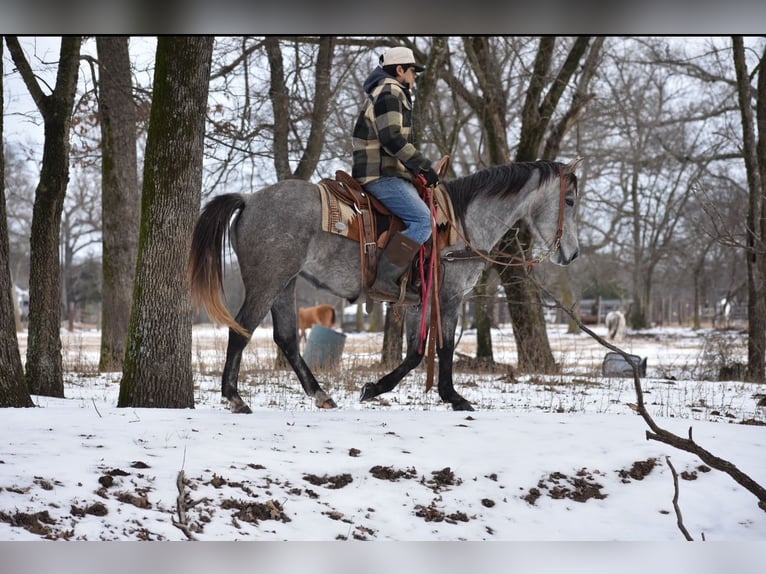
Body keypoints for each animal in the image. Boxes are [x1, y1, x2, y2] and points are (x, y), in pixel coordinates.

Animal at [188, 159, 582, 413]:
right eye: (570, 200)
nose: (573, 254)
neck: (461, 223)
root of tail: (250, 199)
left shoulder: (416, 302)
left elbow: (415, 353)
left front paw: (375, 388)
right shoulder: (449, 298)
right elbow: (442, 349)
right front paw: (453, 397)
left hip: (285, 284)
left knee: (285, 338)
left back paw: (320, 395)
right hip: (267, 282)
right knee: (241, 330)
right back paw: (234, 397)